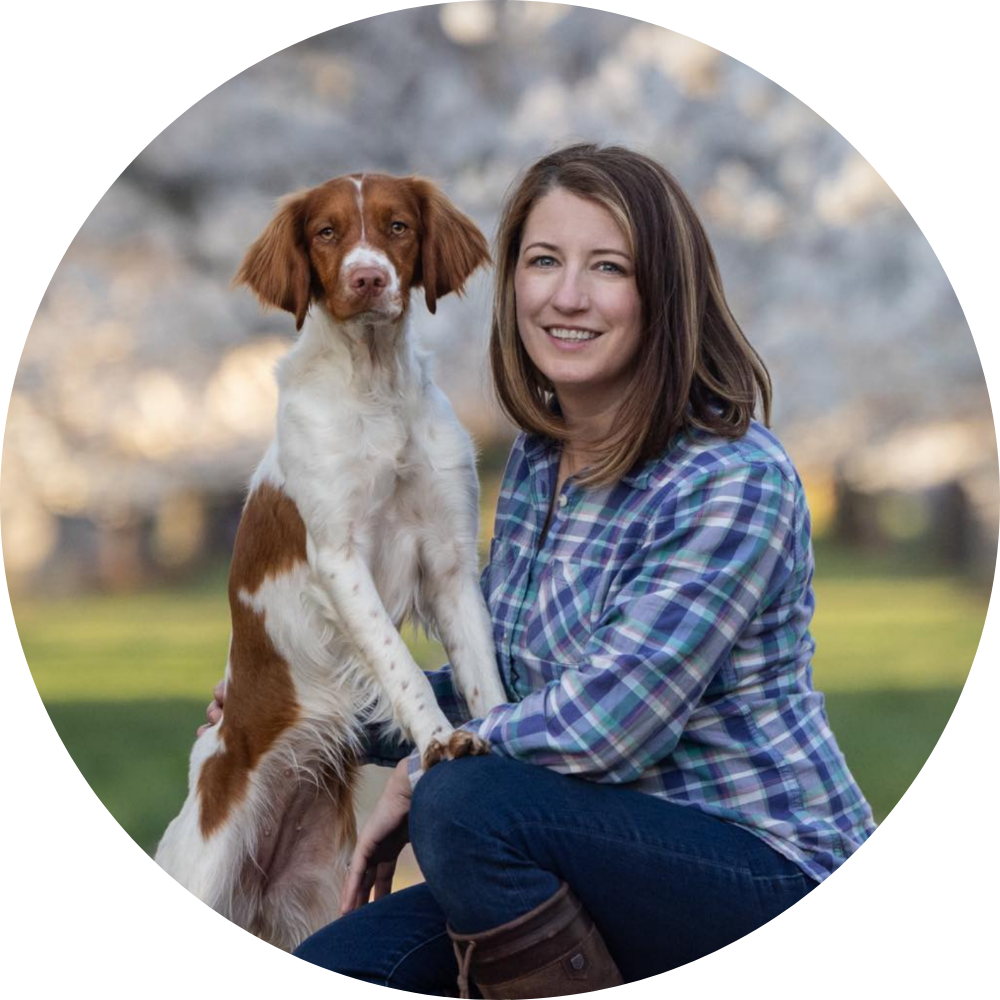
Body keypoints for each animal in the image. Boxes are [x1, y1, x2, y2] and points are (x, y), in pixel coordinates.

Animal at [154, 172, 508, 951]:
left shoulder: (449, 559)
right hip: (207, 867)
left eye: (399, 226)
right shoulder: (340, 559)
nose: (368, 277)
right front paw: (440, 741)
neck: (376, 387)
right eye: (326, 232)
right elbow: (403, 669)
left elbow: (482, 670)